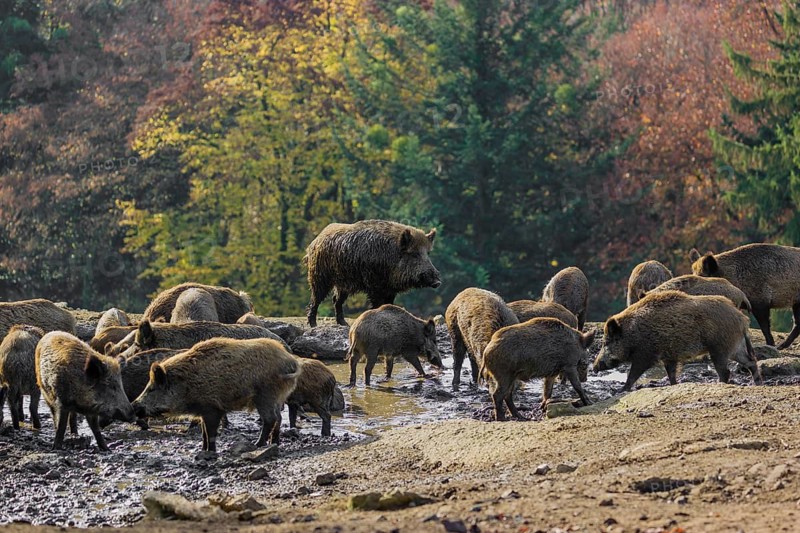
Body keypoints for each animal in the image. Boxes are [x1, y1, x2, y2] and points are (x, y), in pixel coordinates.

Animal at [132, 338, 300, 453]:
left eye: (152, 389)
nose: (134, 406)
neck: (186, 384)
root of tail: (290, 360)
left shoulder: (212, 408)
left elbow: (210, 432)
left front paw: (210, 452)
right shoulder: (202, 412)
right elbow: (203, 433)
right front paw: (203, 450)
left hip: (265, 395)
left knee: (270, 419)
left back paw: (257, 445)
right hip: (277, 396)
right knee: (278, 418)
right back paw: (274, 443)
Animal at [304, 220, 441, 327]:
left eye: (428, 253)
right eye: (414, 254)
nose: (437, 282)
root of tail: (315, 240)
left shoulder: (390, 288)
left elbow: (388, 304)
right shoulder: (374, 285)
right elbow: (377, 304)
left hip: (343, 283)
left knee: (336, 300)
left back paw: (344, 324)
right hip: (319, 276)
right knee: (315, 299)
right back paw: (313, 325)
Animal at [593, 290, 762, 391]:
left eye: (607, 342)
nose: (594, 367)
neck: (632, 334)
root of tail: (742, 319)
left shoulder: (645, 354)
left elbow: (633, 373)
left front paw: (622, 390)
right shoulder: (669, 356)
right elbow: (671, 373)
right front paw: (674, 385)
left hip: (719, 348)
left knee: (726, 371)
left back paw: (719, 384)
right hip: (735, 346)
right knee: (750, 361)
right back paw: (758, 383)